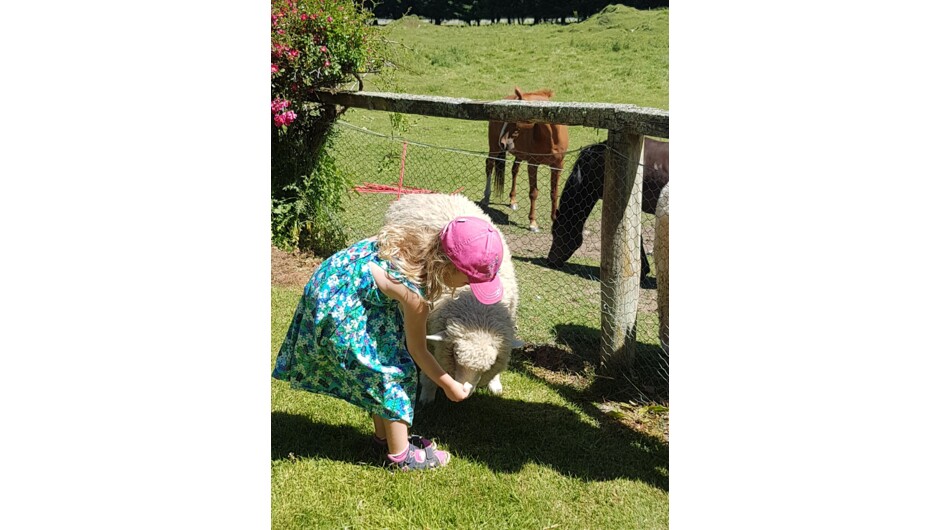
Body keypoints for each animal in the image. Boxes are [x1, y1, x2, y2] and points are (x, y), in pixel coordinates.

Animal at [382, 193, 522, 404]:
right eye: (455, 355)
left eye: (489, 366)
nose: (465, 394)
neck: (478, 314)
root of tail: (422, 194)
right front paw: (427, 393)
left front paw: (495, 383)